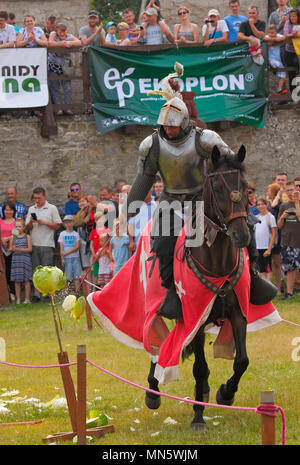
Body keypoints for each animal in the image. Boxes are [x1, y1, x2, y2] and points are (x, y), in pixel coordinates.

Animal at [145, 144, 251, 428]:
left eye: (245, 186)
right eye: (217, 187)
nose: (241, 235)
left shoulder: (238, 314)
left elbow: (241, 361)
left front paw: (225, 393)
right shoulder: (197, 321)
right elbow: (200, 368)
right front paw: (198, 418)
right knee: (155, 344)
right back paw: (153, 390)